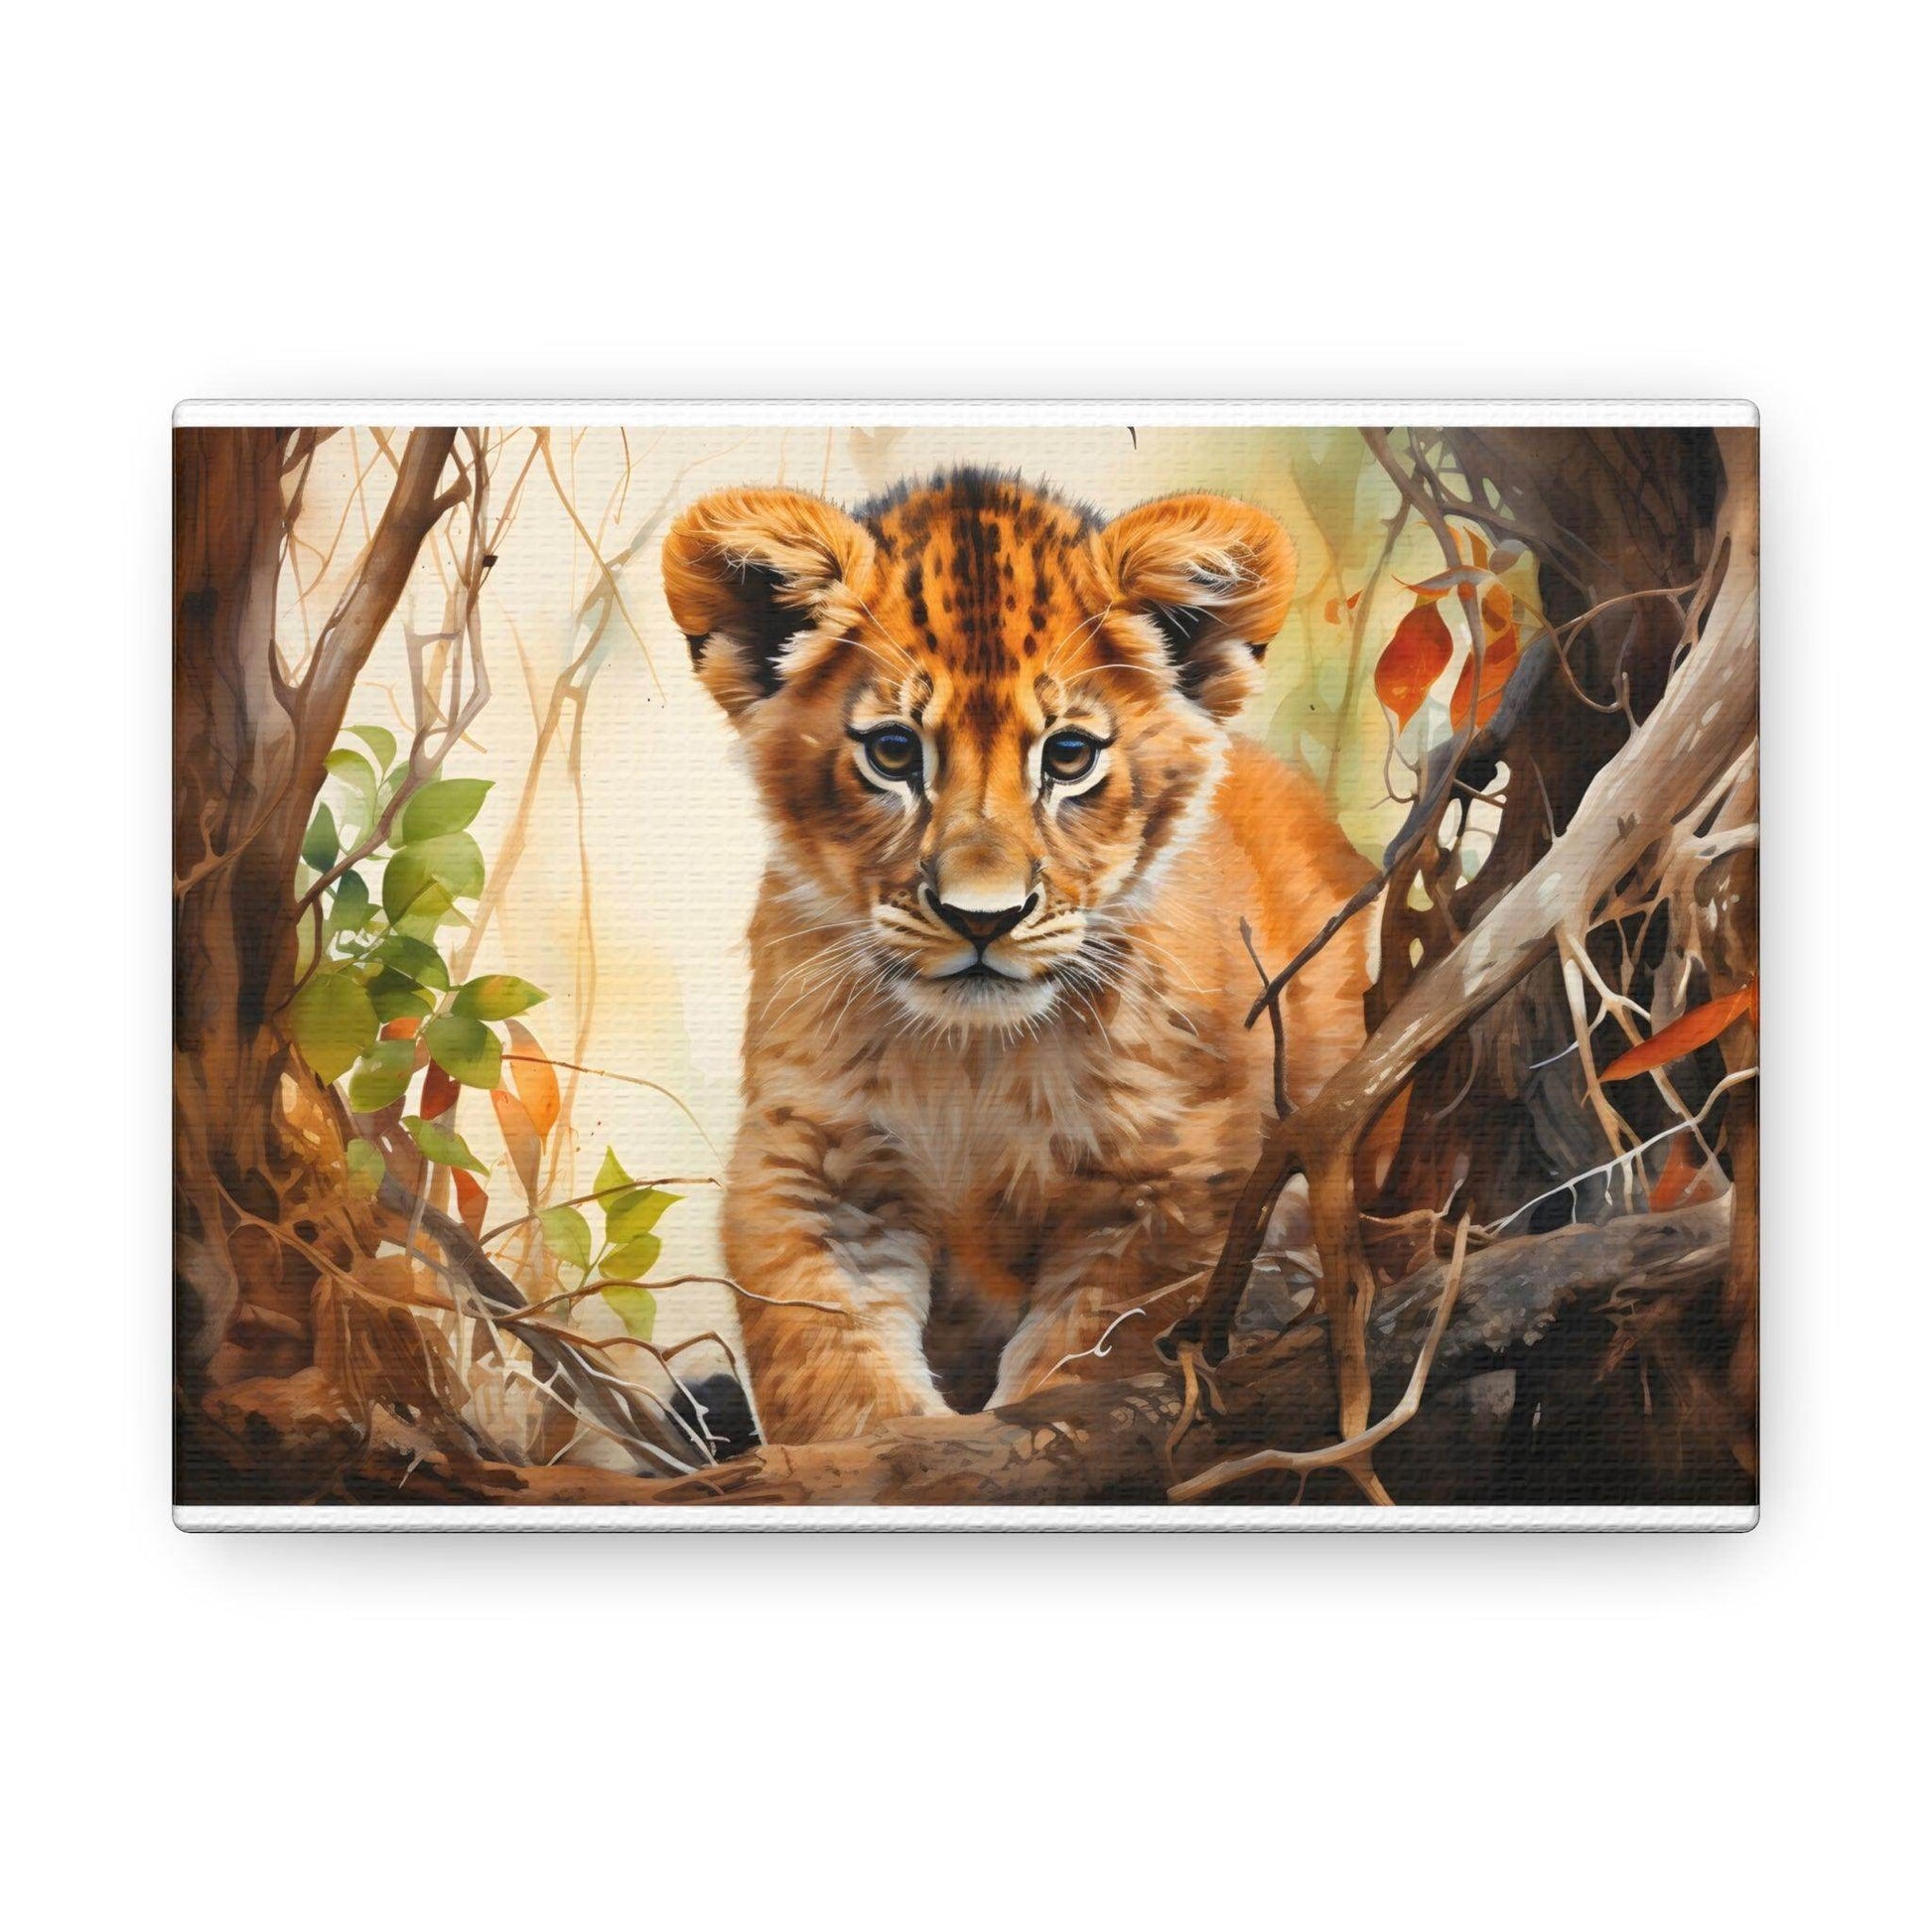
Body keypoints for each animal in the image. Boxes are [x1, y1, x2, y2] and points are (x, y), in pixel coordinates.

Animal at [662, 467, 1377, 1445]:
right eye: (894, 752)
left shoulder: (1174, 1180)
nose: (982, 919)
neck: (975, 1062)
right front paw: (894, 1448)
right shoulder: (812, 1165)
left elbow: (1091, 1361)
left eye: (1068, 756)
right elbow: (829, 1367)